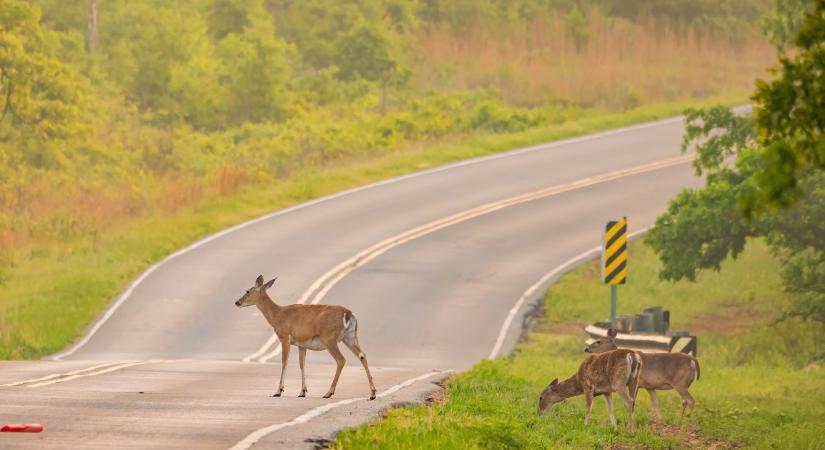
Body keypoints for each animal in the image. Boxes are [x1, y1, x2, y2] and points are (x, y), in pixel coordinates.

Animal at [235, 276, 376, 400]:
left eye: (247, 291)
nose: (237, 302)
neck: (278, 316)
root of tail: (348, 313)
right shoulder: (302, 344)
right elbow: (302, 364)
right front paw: (302, 392)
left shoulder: (285, 337)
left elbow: (284, 362)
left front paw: (278, 391)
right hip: (350, 336)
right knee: (362, 355)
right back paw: (372, 393)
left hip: (330, 338)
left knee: (341, 360)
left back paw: (328, 392)